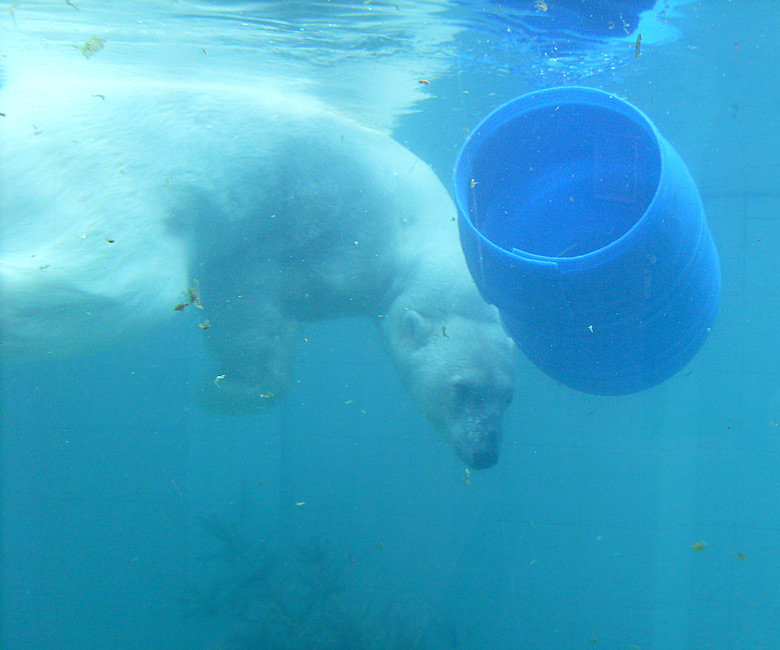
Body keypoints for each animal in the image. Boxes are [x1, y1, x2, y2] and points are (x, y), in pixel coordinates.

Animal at [1, 69, 516, 466]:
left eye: (506, 396)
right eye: (462, 389)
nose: (485, 454)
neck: (414, 234)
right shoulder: (334, 239)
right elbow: (249, 306)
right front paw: (215, 391)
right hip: (103, 174)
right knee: (123, 284)